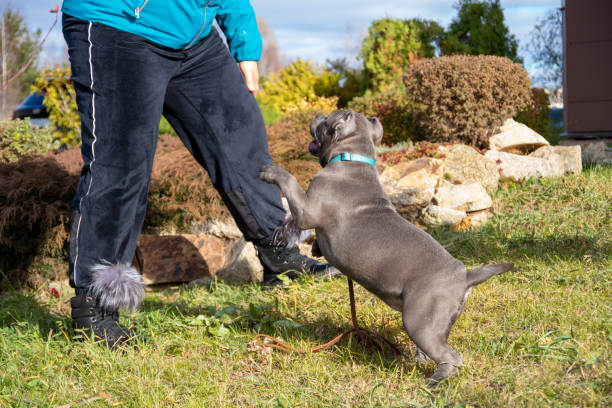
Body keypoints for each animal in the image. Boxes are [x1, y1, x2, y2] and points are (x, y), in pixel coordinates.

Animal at [260, 109, 512, 386]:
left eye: (326, 120)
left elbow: (290, 182)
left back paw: (434, 382)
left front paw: (270, 171)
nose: (316, 114)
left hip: (419, 320)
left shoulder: (307, 209)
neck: (352, 158)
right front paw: (313, 248)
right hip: (436, 322)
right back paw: (420, 361)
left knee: (451, 357)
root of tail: (466, 277)